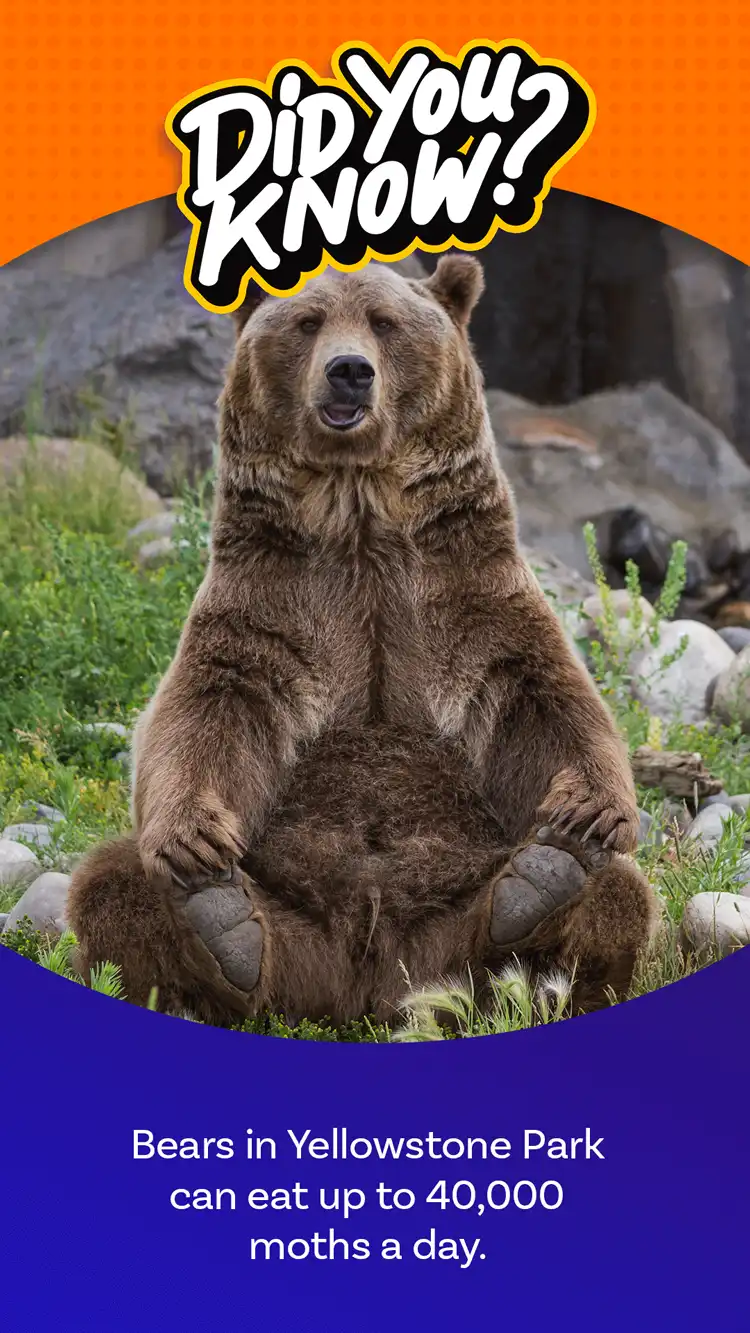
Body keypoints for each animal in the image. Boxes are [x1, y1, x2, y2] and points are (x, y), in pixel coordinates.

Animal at [68, 254, 659, 1026]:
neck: (360, 516)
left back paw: (542, 880)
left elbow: (544, 699)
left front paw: (587, 811)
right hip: (293, 927)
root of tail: (366, 984)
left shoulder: (467, 596)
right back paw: (221, 926)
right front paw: (194, 841)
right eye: (307, 320)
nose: (349, 370)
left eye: (385, 321)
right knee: (114, 883)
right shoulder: (271, 603)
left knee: (615, 894)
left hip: (452, 929)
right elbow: (205, 711)